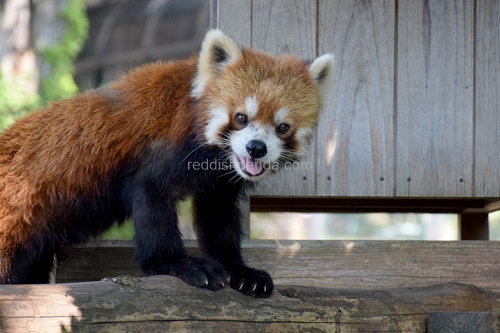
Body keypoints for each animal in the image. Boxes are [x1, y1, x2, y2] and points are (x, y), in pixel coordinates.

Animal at [0, 29, 336, 296]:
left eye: (283, 127)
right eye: (241, 117)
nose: (256, 149)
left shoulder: (219, 184)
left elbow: (219, 221)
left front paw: (240, 271)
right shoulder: (164, 151)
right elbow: (151, 199)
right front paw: (178, 264)